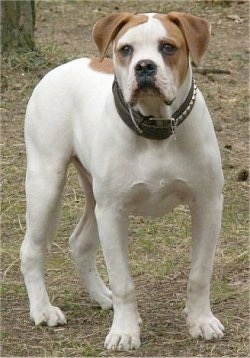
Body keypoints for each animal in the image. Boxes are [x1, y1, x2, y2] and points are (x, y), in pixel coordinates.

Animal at [20, 11, 225, 352]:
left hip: (91, 197)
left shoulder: (208, 205)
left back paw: (103, 297)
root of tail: (60, 68)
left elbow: (200, 273)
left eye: (168, 47)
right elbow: (124, 281)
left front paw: (201, 322)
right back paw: (43, 310)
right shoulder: (113, 213)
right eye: (126, 49)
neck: (156, 128)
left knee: (80, 243)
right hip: (46, 182)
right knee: (31, 249)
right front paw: (124, 332)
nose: (144, 66)